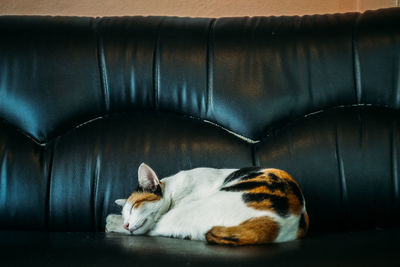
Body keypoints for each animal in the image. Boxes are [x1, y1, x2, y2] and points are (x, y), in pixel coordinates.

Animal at [106, 162, 310, 246]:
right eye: (126, 212)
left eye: (134, 207)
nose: (126, 223)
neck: (173, 189)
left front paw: (114, 221)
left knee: (152, 230)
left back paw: (111, 222)